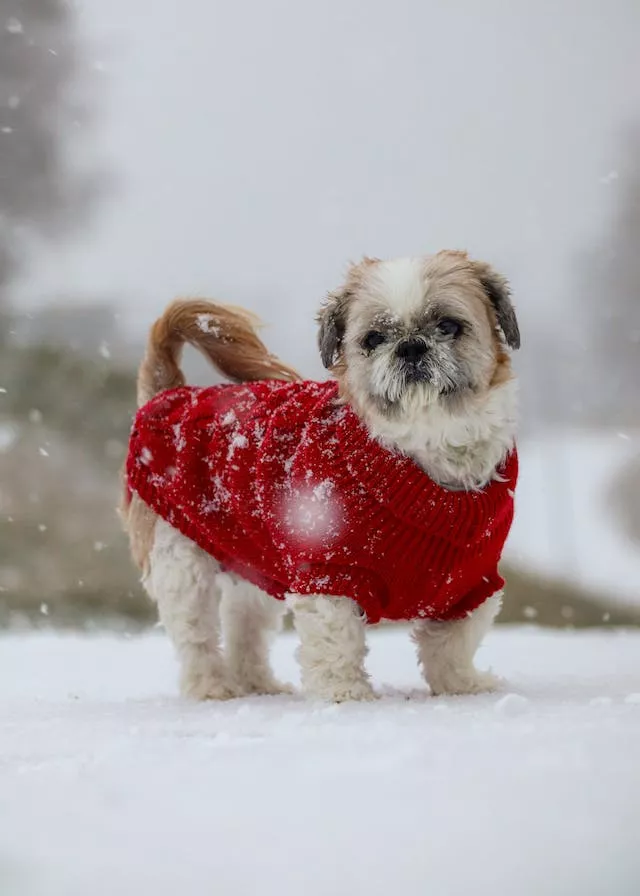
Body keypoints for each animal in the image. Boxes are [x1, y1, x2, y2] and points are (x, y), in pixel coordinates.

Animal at [121, 250, 520, 700]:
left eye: (449, 326)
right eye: (373, 339)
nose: (411, 346)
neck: (421, 452)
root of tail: (168, 394)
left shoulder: (471, 583)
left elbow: (453, 642)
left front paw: (463, 686)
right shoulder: (330, 570)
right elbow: (337, 638)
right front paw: (344, 693)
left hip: (253, 562)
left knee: (246, 628)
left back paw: (259, 685)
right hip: (179, 560)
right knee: (196, 636)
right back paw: (211, 687)